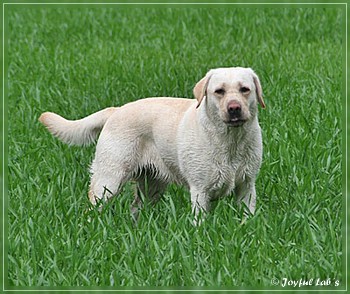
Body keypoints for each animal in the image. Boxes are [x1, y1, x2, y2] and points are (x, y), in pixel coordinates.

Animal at [39, 66, 266, 223]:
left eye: (245, 89)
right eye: (219, 91)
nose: (234, 108)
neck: (230, 142)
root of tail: (115, 110)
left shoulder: (247, 186)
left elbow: (247, 216)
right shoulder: (200, 191)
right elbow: (200, 222)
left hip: (151, 186)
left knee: (135, 208)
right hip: (108, 181)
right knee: (92, 209)